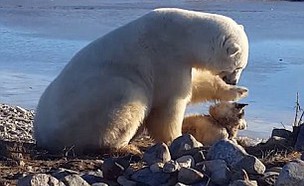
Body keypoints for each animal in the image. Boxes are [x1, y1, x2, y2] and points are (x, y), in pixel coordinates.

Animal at [34, 8, 249, 153]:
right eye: (237, 67)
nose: (233, 80)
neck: (183, 33)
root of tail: (41, 134)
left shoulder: (181, 60)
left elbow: (197, 84)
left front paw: (239, 91)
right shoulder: (166, 57)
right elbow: (170, 102)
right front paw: (178, 138)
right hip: (92, 105)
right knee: (129, 100)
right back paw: (122, 146)